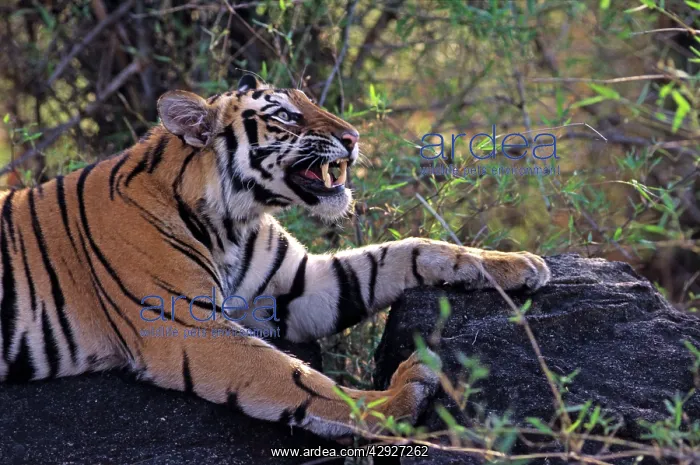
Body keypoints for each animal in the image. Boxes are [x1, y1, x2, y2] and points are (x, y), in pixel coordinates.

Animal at [0, 74, 550, 439]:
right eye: (284, 115)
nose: (354, 138)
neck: (233, 223)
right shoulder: (188, 327)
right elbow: (296, 379)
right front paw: (402, 395)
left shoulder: (301, 287)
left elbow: (405, 251)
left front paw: (516, 264)